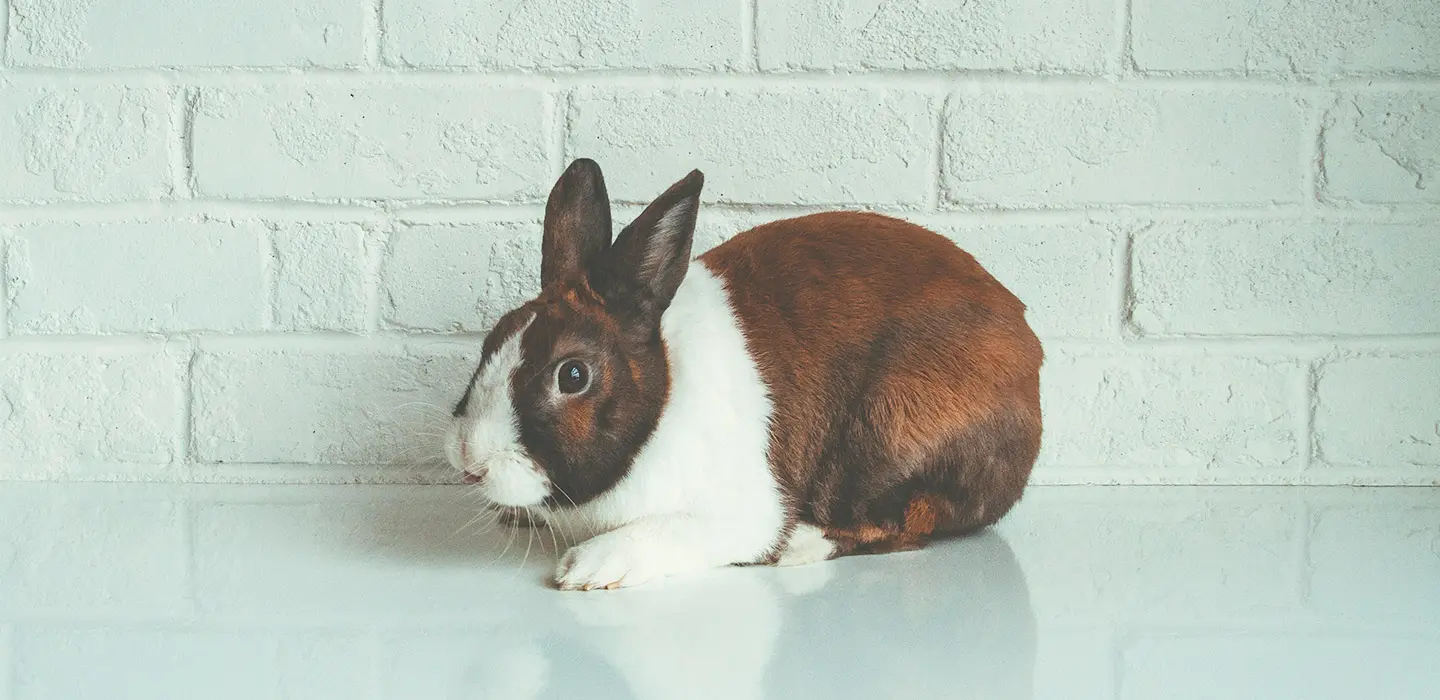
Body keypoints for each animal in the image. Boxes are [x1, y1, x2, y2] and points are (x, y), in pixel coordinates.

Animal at [445, 159, 1043, 591]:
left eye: (572, 375)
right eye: (493, 339)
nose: (469, 461)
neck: (663, 399)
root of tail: (1031, 366)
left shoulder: (737, 512)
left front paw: (590, 567)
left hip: (888, 433)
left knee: (910, 521)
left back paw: (800, 546)